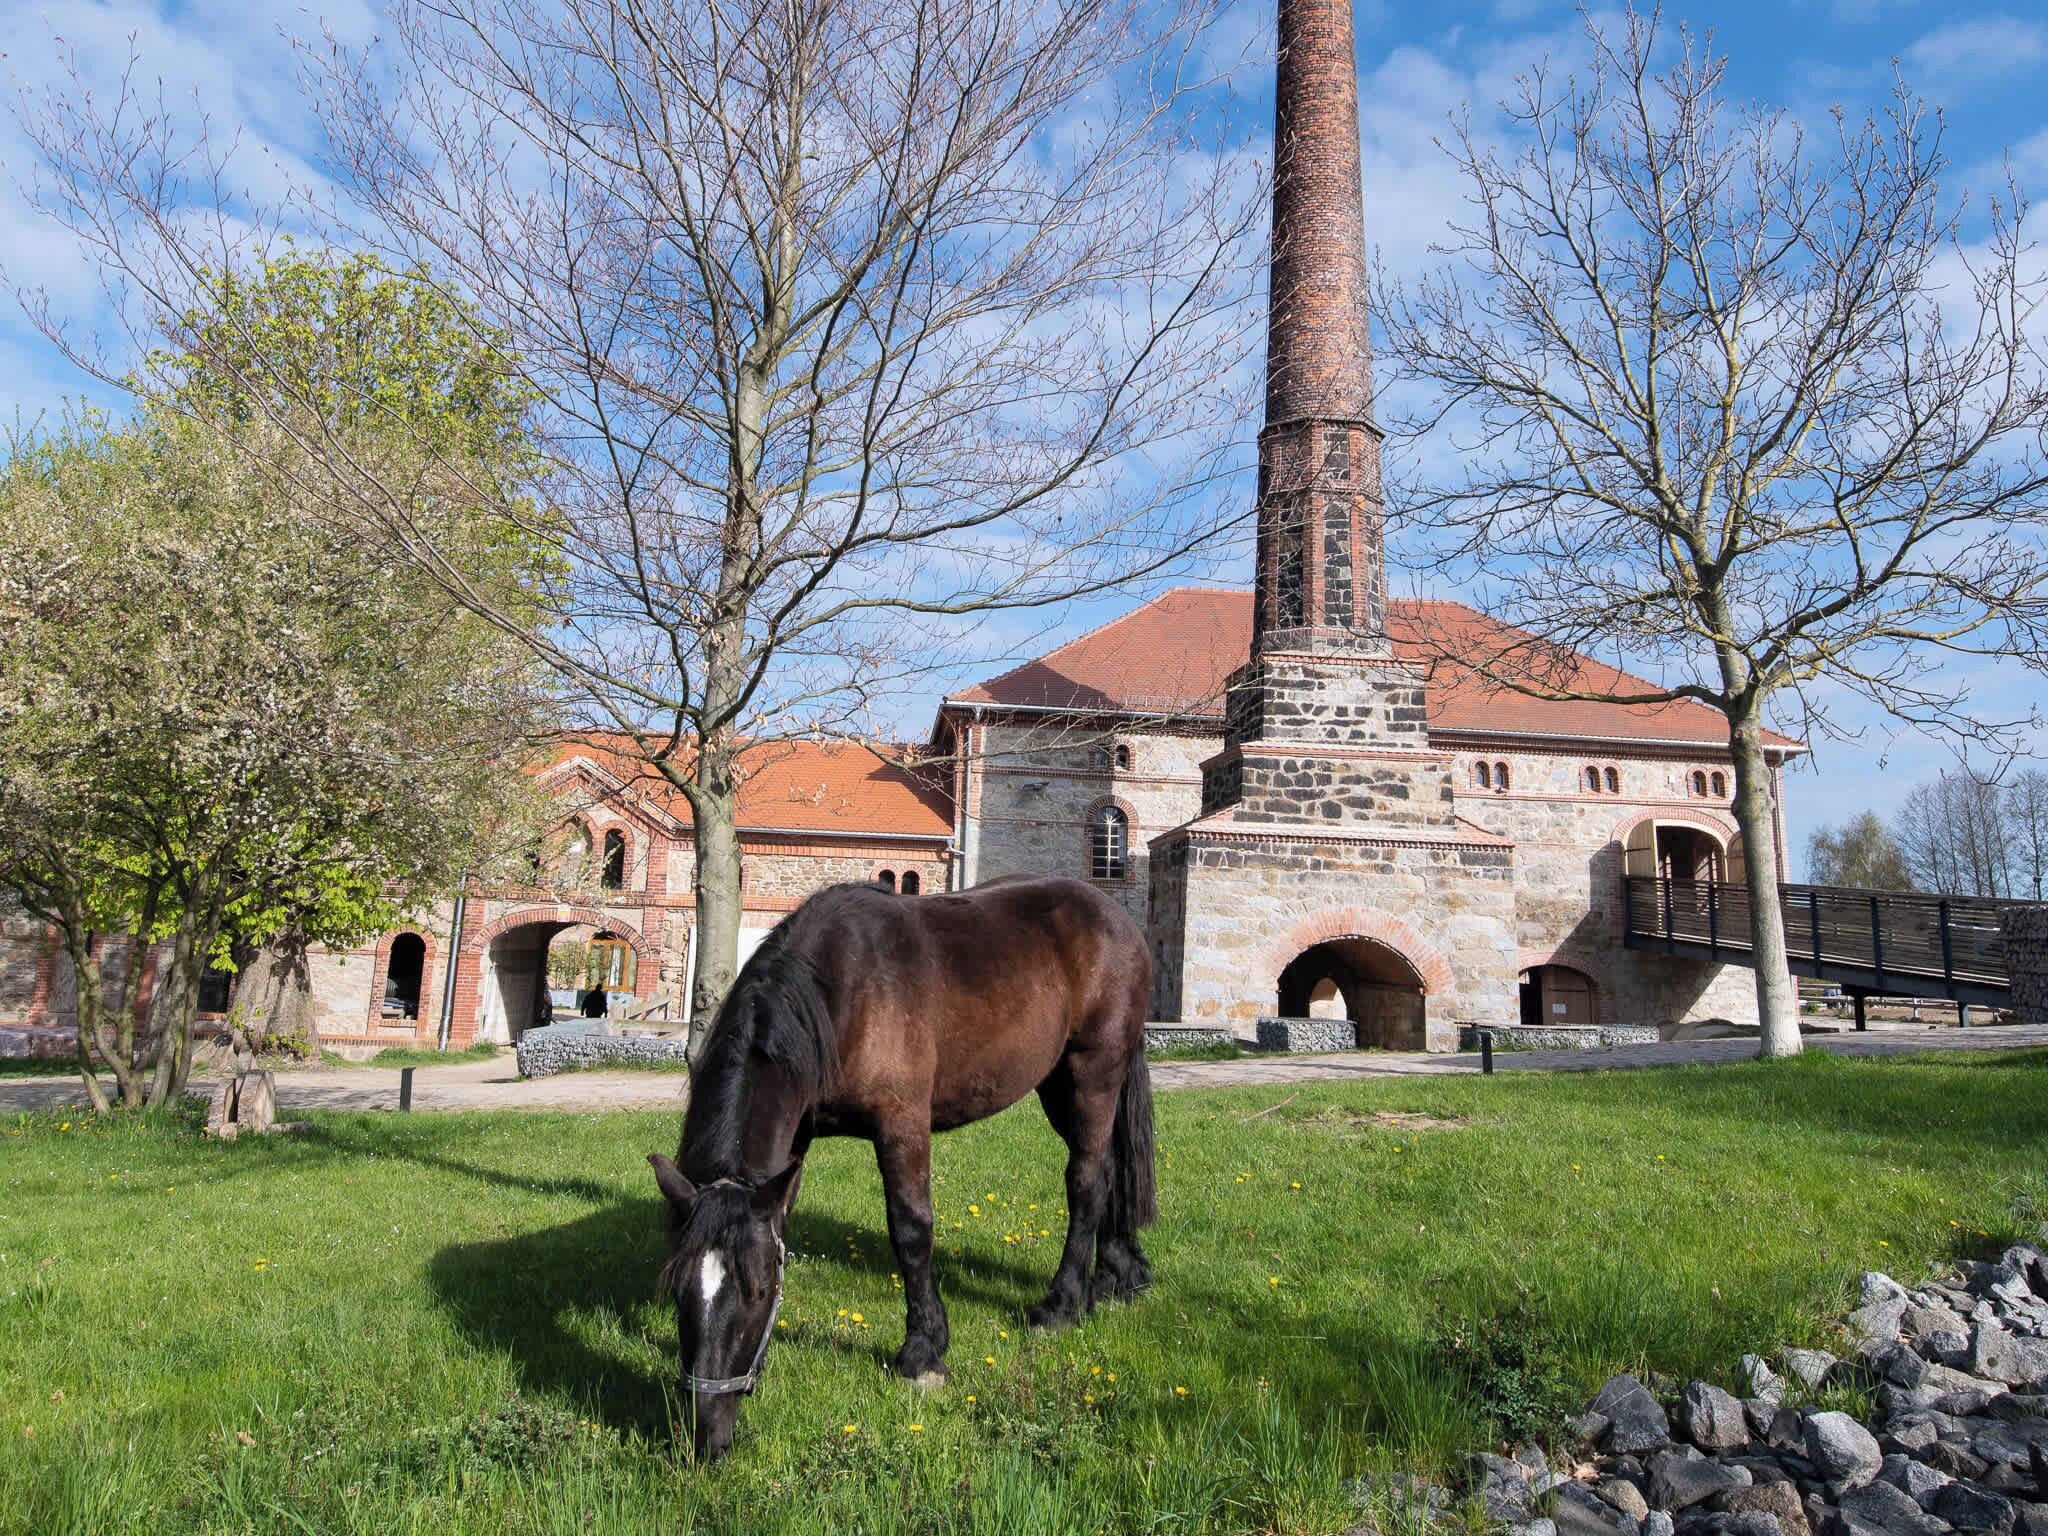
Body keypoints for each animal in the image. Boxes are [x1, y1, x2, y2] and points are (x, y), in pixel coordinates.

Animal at [645, 874, 1156, 1461]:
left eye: (756, 1291)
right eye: (679, 1290)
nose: (706, 1435)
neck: (838, 992)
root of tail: (1114, 916)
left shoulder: (902, 1123)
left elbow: (910, 1230)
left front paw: (922, 1351)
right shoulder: (796, 1140)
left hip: (1093, 1071)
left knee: (1086, 1181)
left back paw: (1063, 1303)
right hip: (1057, 1083)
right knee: (1111, 1170)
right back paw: (1119, 1275)